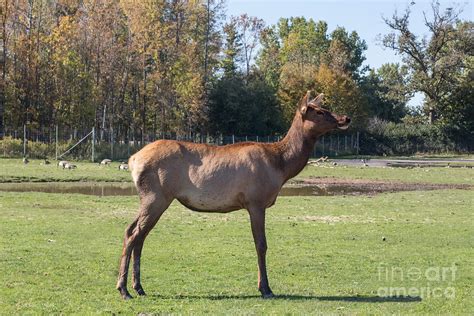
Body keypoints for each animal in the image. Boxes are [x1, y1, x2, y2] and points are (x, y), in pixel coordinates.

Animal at [116, 90, 350, 298]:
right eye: (318, 111)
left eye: (324, 107)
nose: (345, 118)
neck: (282, 166)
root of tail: (132, 160)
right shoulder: (256, 201)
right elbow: (261, 244)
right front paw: (265, 288)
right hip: (156, 196)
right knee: (134, 234)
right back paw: (124, 289)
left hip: (152, 198)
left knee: (134, 233)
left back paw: (138, 287)